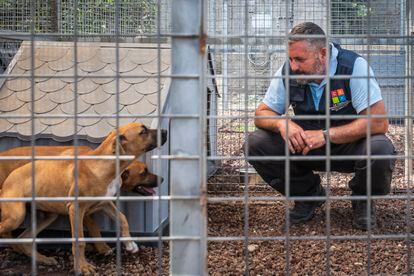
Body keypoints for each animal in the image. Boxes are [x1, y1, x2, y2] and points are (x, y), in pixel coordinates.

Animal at [0, 124, 168, 274]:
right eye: (143, 131)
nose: (166, 131)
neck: (104, 167)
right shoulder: (76, 209)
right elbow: (80, 239)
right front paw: (83, 267)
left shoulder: (105, 203)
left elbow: (122, 218)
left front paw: (130, 244)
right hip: (16, 215)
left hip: (47, 216)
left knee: (24, 238)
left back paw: (44, 259)